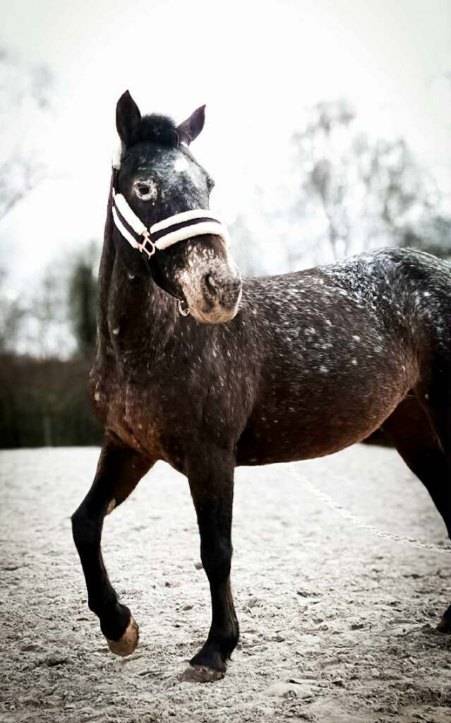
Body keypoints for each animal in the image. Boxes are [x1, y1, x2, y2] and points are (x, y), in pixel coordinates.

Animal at [72, 90, 451, 682]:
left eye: (207, 183)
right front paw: (120, 627)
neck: (149, 346)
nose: (220, 289)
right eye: (144, 187)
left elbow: (216, 549)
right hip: (414, 428)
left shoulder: (211, 455)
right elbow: (85, 524)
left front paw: (214, 650)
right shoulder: (128, 447)